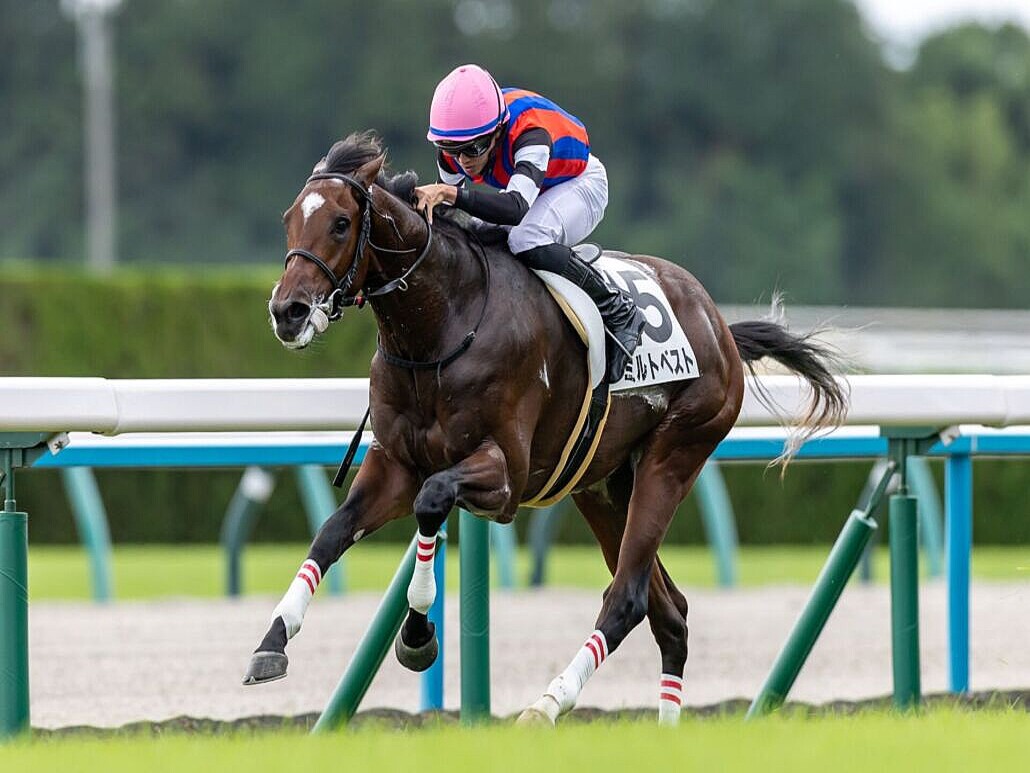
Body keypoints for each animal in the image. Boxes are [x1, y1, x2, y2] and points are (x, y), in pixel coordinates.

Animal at [246, 131, 847, 725]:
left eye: (341, 222)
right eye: (288, 219)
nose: (287, 312)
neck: (442, 324)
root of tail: (717, 322)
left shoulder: (504, 476)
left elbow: (432, 499)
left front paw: (417, 635)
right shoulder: (395, 464)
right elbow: (331, 533)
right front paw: (271, 643)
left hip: (674, 456)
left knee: (626, 598)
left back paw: (547, 703)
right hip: (602, 487)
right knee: (668, 613)